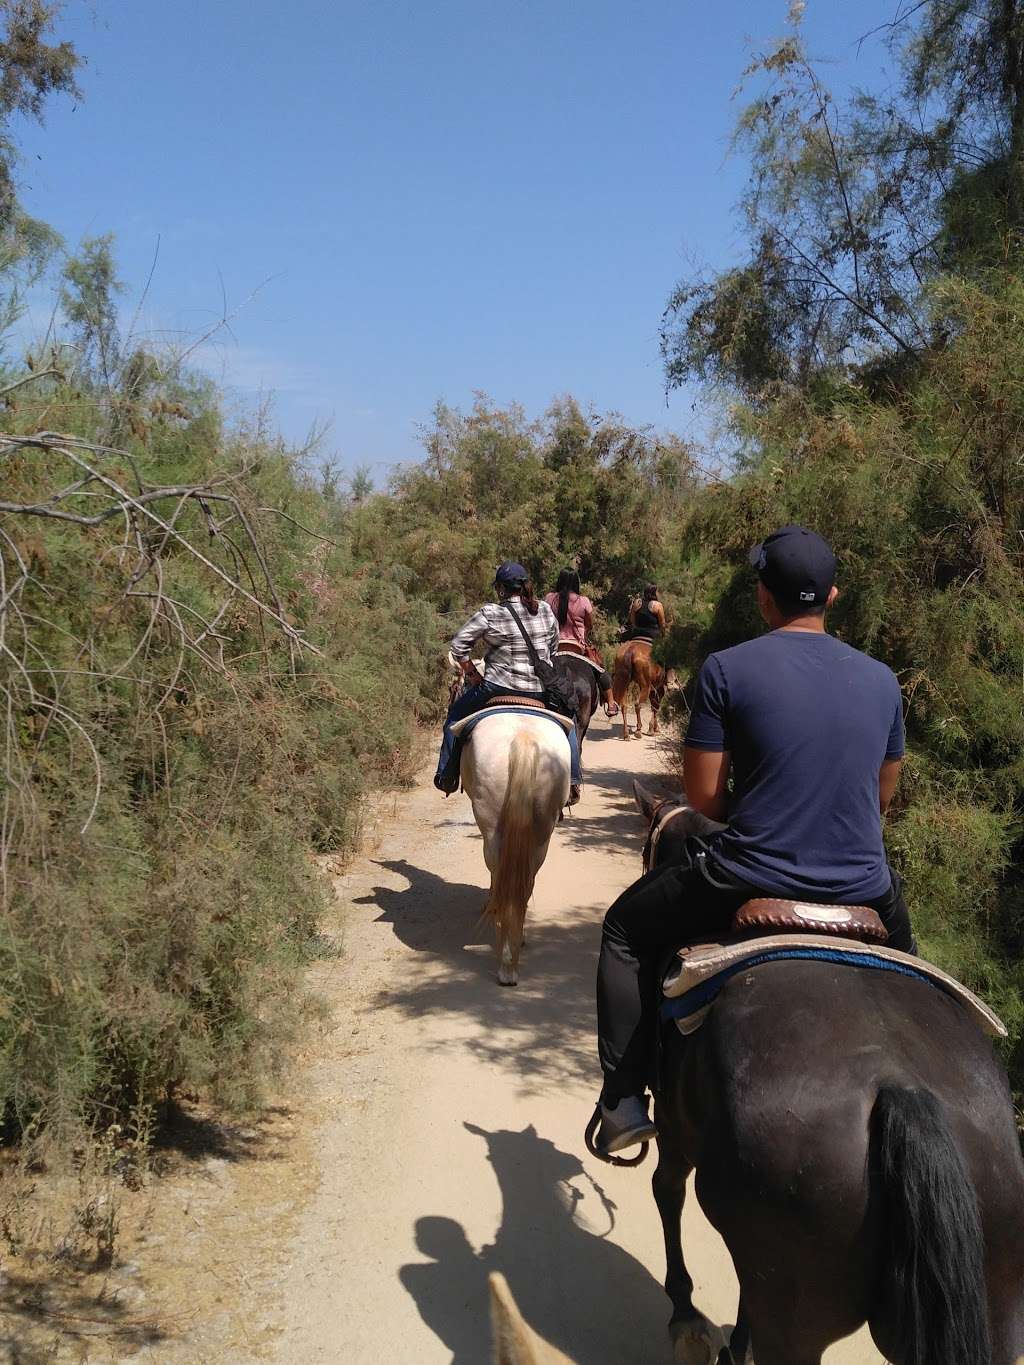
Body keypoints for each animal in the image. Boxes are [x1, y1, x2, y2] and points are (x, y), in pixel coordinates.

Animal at [453, 709, 573, 988]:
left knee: (499, 873)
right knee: (525, 881)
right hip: (542, 835)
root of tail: (523, 738)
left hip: (490, 827)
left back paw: (506, 961)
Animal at [633, 786, 1024, 1365]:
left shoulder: (677, 1126)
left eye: (646, 850)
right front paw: (734, 1344)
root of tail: (902, 1091)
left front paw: (685, 1315)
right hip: (991, 1298)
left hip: (797, 1307)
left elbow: (667, 1190)